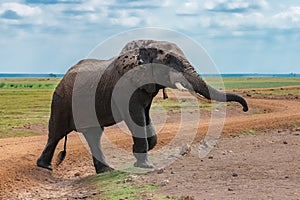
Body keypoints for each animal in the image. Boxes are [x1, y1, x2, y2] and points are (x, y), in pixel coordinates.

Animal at [37, 39, 248, 173]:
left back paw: (105, 170)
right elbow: (135, 117)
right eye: (170, 61)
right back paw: (45, 167)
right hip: (61, 101)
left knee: (93, 134)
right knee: (56, 133)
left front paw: (139, 155)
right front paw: (145, 165)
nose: (246, 109)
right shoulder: (125, 88)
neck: (146, 51)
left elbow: (145, 119)